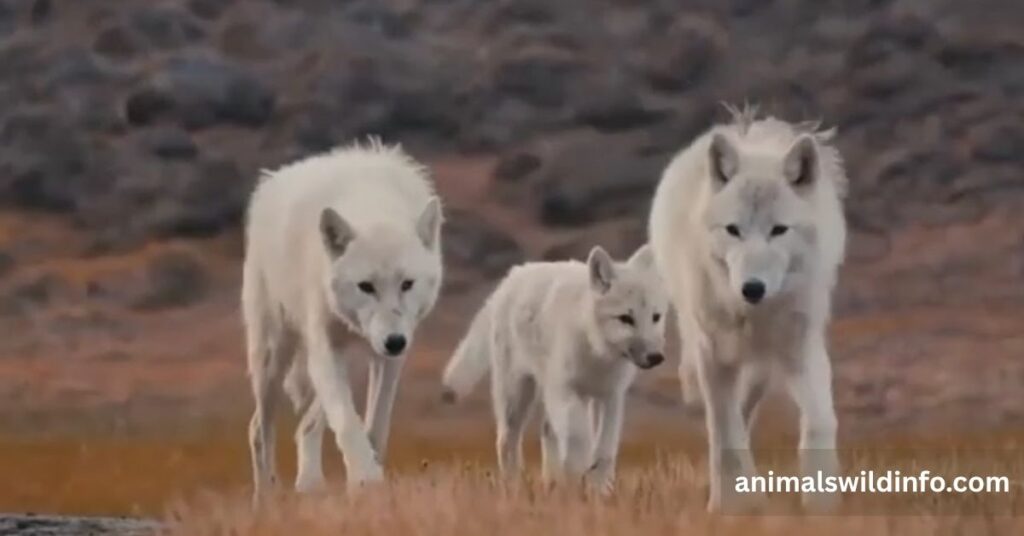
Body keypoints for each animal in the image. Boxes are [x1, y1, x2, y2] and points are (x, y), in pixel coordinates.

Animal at [242, 139, 443, 500]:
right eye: (366, 286)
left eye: (407, 284)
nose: (394, 341)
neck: (372, 202)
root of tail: (272, 179)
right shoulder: (324, 349)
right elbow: (348, 423)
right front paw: (365, 480)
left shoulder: (389, 359)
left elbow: (375, 426)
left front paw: (371, 480)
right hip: (272, 356)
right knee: (258, 429)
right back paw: (267, 500)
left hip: (344, 358)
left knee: (306, 424)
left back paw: (308, 485)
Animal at [441, 245, 668, 492]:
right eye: (626, 318)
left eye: (656, 317)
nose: (656, 357)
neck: (596, 352)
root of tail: (511, 277)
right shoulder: (564, 390)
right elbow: (580, 439)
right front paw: (580, 478)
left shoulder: (611, 396)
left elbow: (605, 449)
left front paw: (599, 489)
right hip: (517, 396)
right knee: (507, 441)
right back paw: (515, 488)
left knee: (547, 430)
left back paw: (551, 483)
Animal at [648, 105, 847, 512]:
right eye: (733, 230)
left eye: (779, 230)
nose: (752, 288)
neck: (755, 315)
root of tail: (748, 131)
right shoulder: (714, 354)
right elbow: (724, 435)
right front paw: (727, 507)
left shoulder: (801, 349)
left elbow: (821, 421)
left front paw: (822, 504)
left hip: (761, 369)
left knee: (744, 407)